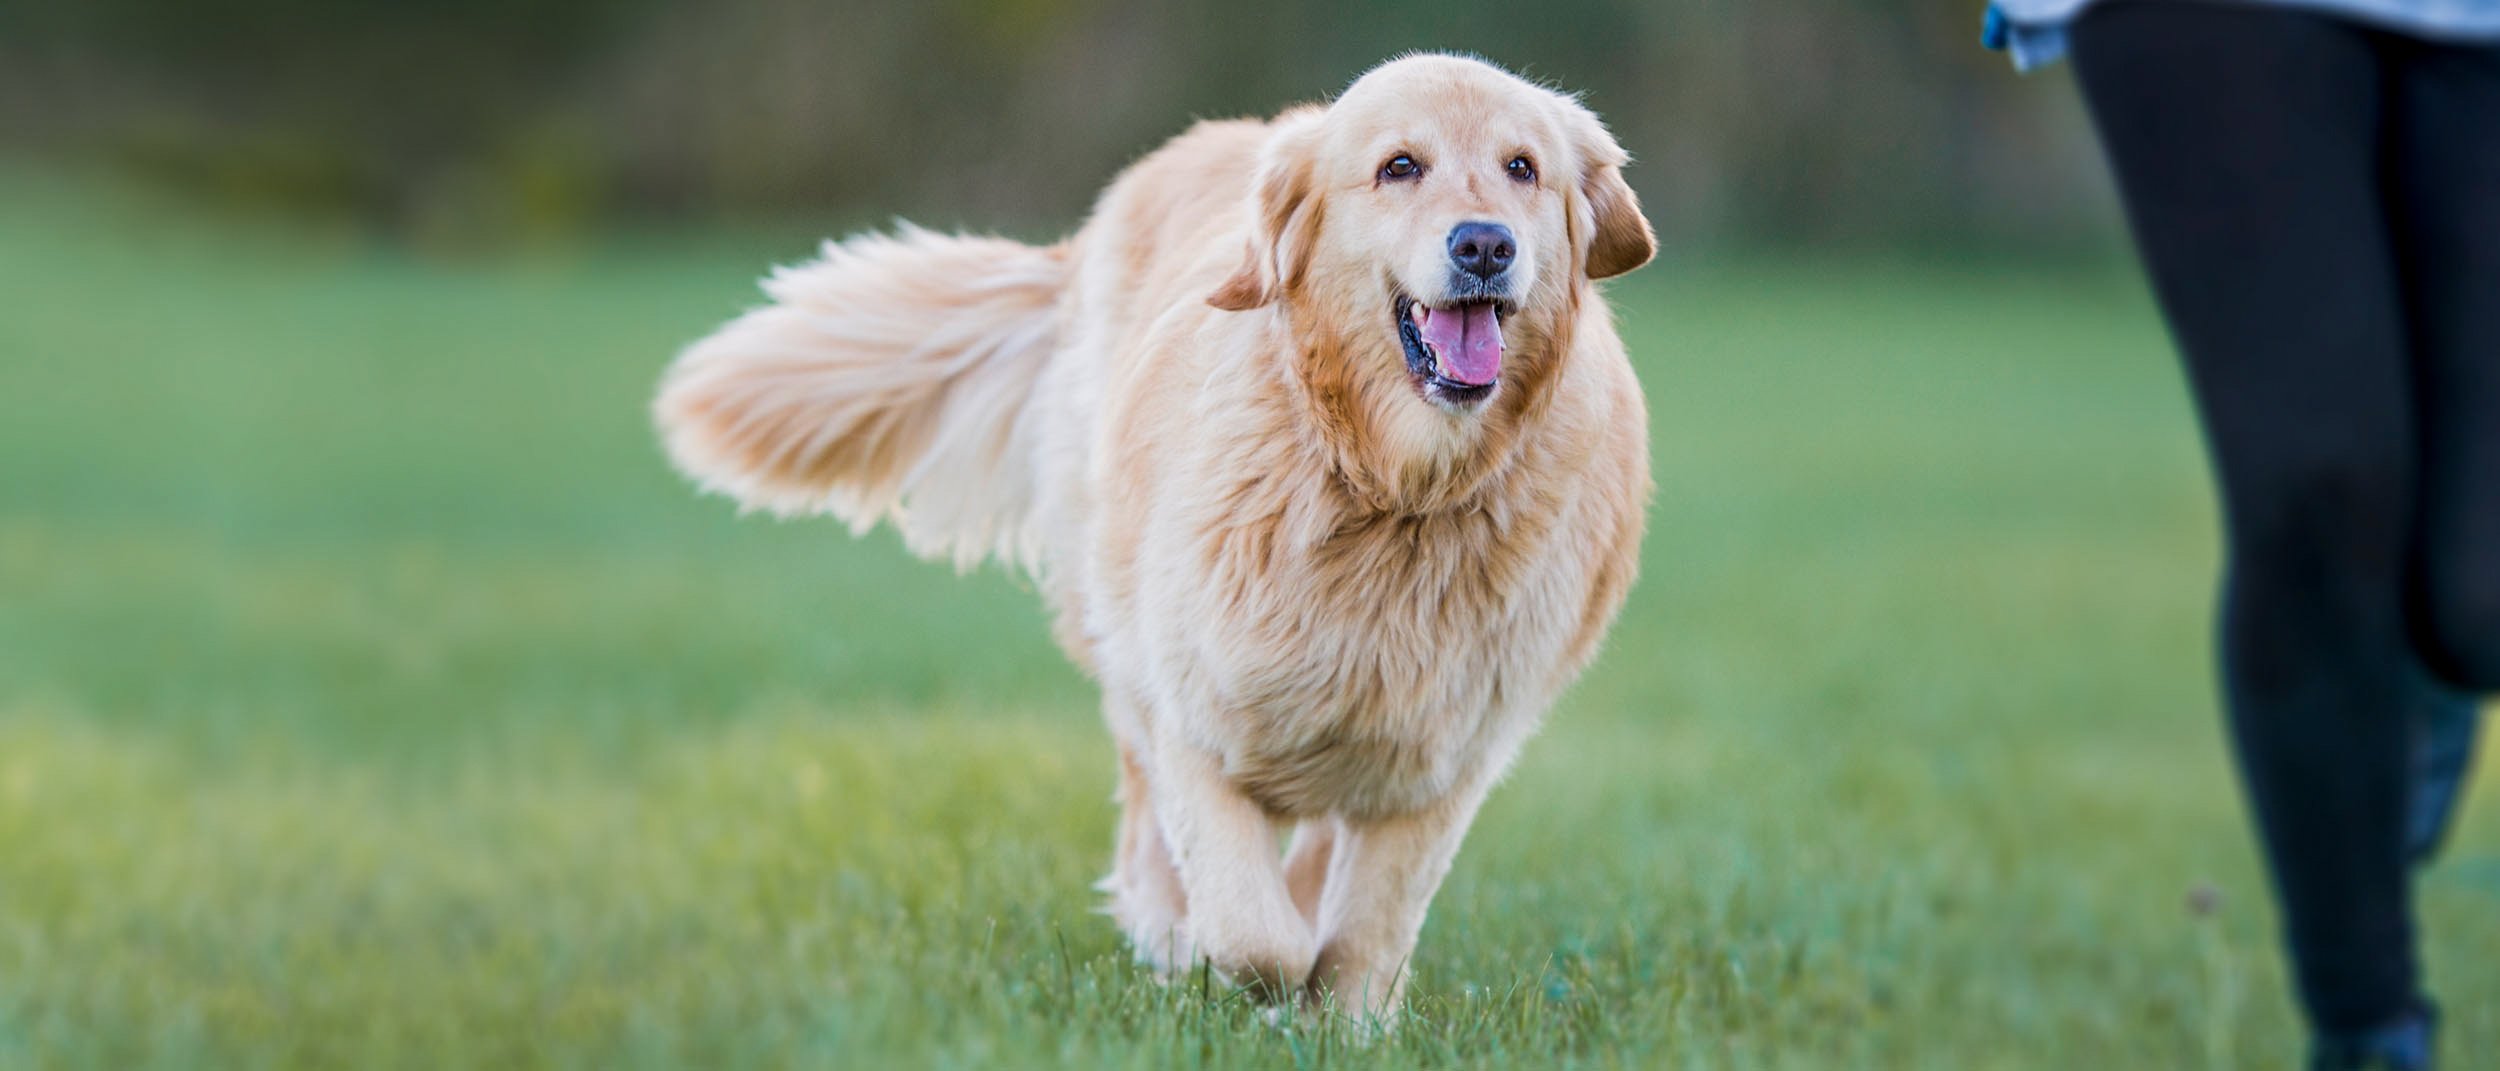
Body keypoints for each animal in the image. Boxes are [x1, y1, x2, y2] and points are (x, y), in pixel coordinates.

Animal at [655, 54, 1650, 1025]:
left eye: (1523, 168)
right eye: (1399, 166)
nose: (1485, 244)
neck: (1394, 488)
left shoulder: (1448, 757)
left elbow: (1366, 926)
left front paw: (1347, 1020)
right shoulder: (1192, 709)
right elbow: (1256, 933)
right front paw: (1229, 968)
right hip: (1116, 628)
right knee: (1152, 834)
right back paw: (1171, 942)